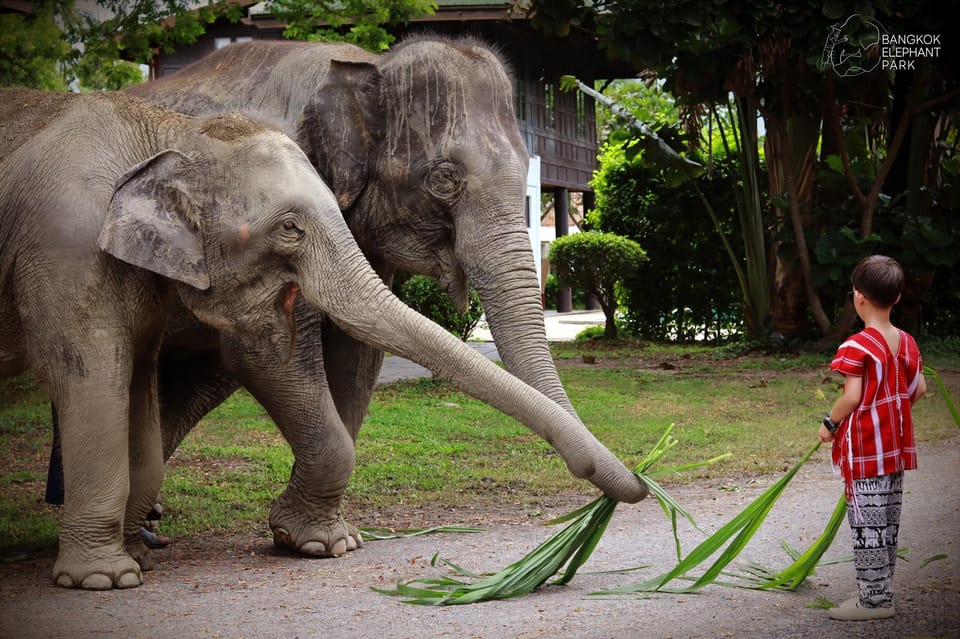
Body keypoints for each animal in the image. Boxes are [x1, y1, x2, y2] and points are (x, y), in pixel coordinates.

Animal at [3, 89, 648, 592]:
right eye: (290, 228)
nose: (642, 484)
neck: (165, 131)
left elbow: (138, 379)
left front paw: (327, 547)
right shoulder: (64, 250)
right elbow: (94, 379)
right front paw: (104, 579)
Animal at [120, 35, 640, 552]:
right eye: (444, 178)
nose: (640, 481)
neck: (369, 64)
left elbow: (357, 355)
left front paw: (317, 536)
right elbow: (269, 353)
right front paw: (319, 543)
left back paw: (149, 523)